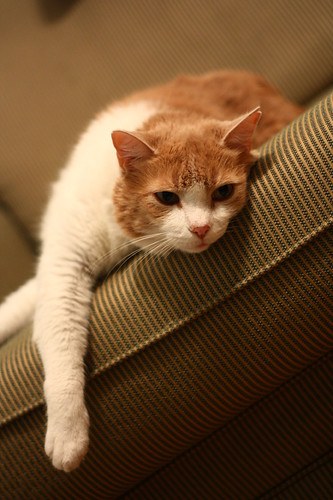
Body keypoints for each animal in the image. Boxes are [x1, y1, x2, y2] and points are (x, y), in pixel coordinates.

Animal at [0, 71, 302, 472]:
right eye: (167, 198)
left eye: (223, 192)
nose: (201, 229)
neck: (117, 225)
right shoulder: (62, 263)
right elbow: (52, 329)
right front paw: (68, 434)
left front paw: (66, 439)